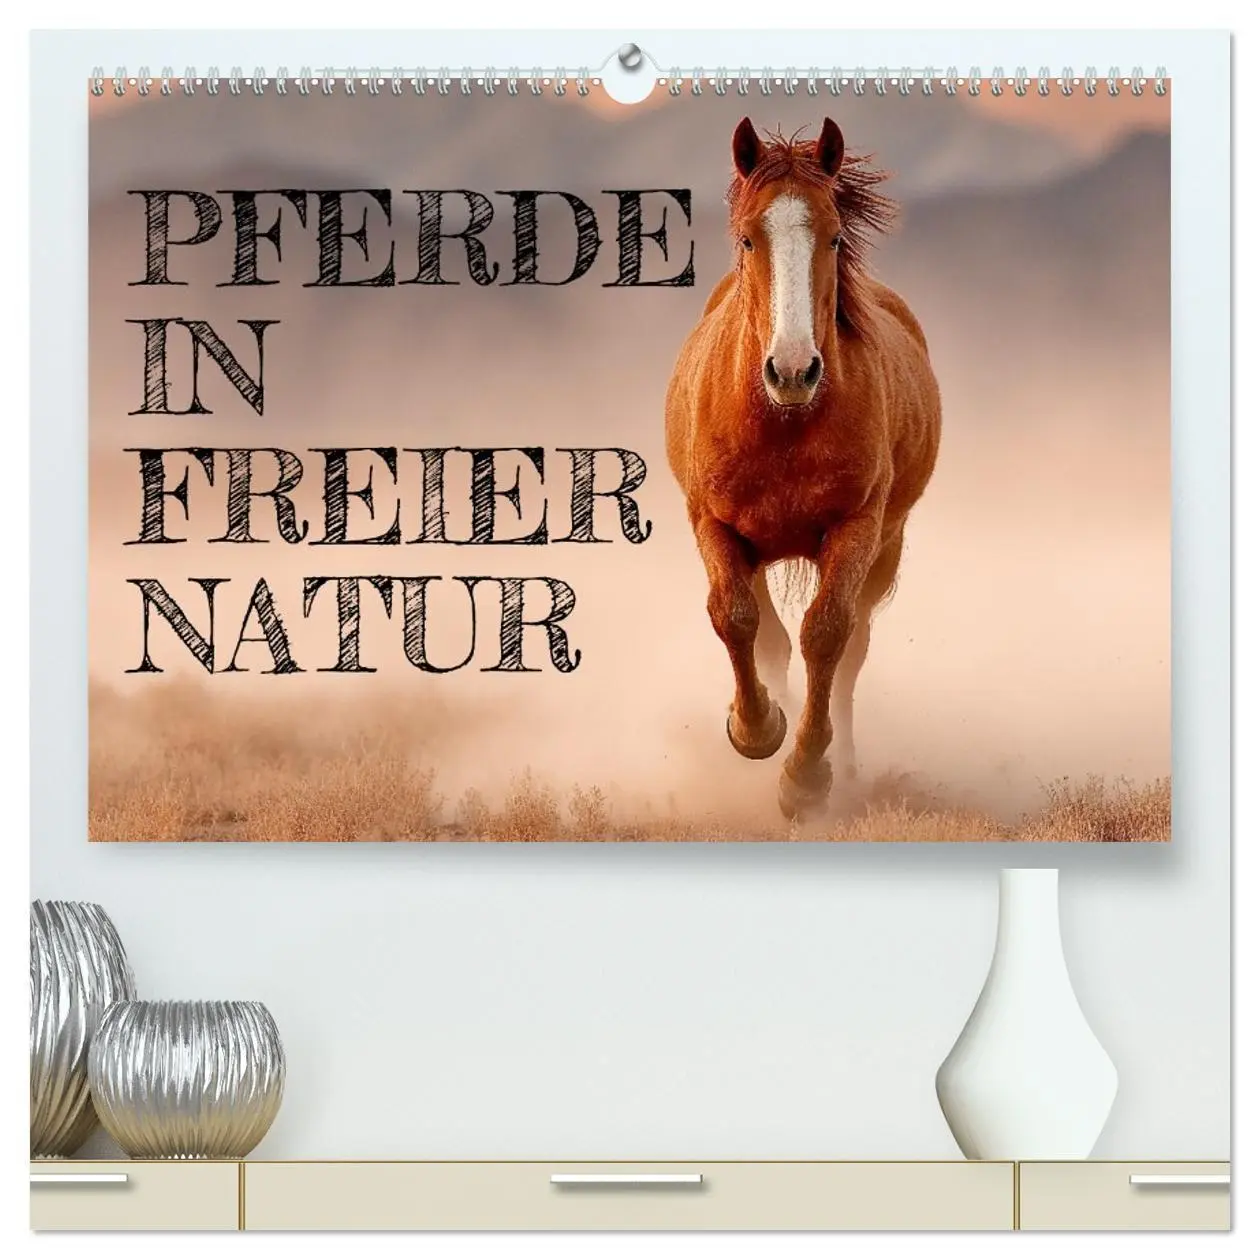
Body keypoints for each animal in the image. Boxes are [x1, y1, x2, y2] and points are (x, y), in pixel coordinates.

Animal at [664, 117, 941, 821]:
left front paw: (806, 776)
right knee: (769, 638)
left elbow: (827, 636)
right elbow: (738, 620)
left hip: (886, 547)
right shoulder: (714, 524)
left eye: (834, 234)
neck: (783, 423)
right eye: (747, 237)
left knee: (850, 651)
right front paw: (756, 729)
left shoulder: (857, 528)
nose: (792, 370)